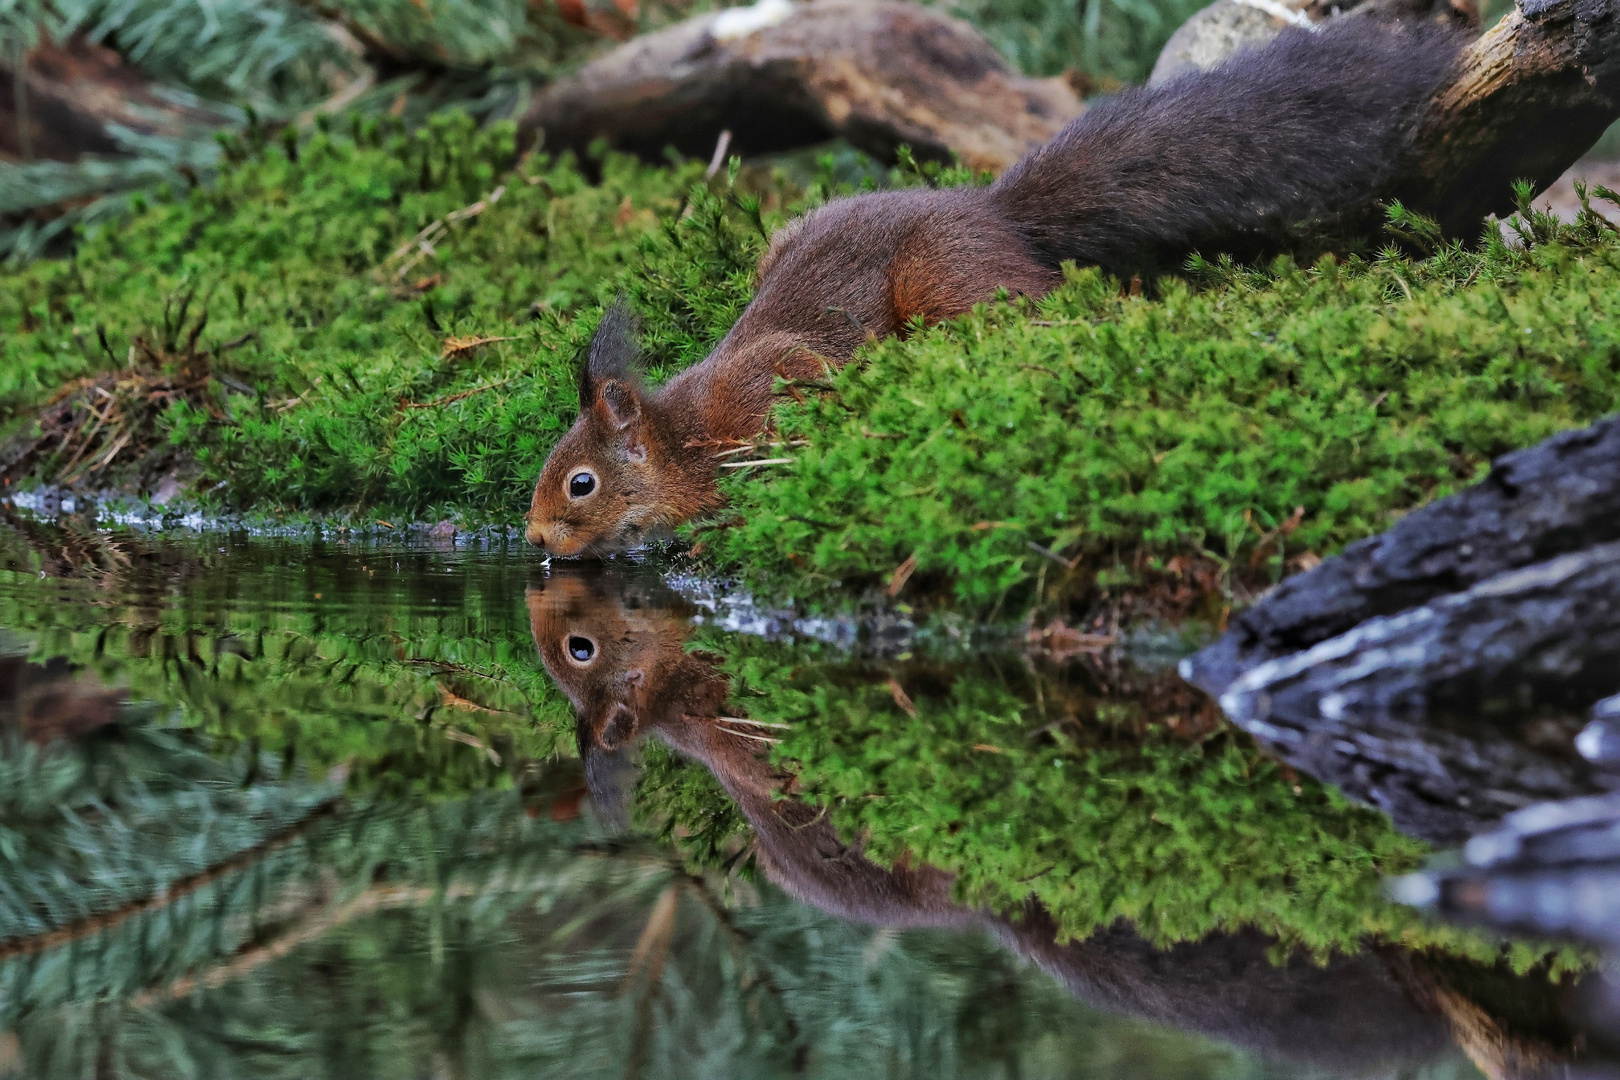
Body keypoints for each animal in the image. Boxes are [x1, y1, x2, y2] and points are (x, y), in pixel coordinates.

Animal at [528, 17, 1470, 557]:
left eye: (581, 484)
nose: (534, 537)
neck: (676, 435)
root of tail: (988, 209)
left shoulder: (763, 379)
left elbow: (800, 383)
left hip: (945, 280)